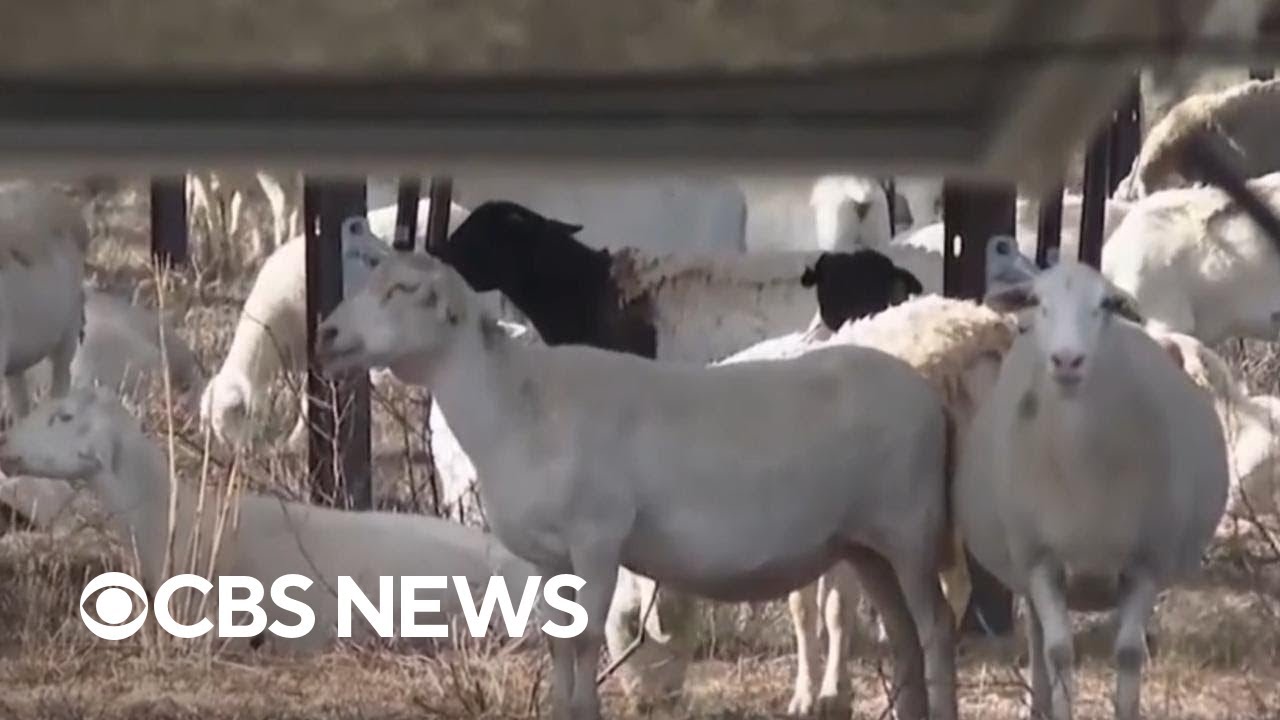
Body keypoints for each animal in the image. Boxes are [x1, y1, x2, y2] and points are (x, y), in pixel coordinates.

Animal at [314, 252, 958, 720]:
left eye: (403, 291)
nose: (326, 332)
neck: (515, 406)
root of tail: (925, 393)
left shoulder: (597, 538)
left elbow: (584, 640)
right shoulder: (547, 557)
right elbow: (558, 645)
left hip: (910, 529)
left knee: (936, 628)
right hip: (867, 544)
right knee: (906, 636)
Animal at [955, 261, 1229, 720]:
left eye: (1105, 305)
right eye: (1037, 302)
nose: (1067, 360)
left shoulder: (1146, 562)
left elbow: (1129, 653)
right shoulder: (1041, 561)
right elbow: (1060, 652)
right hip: (1024, 569)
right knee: (1038, 640)